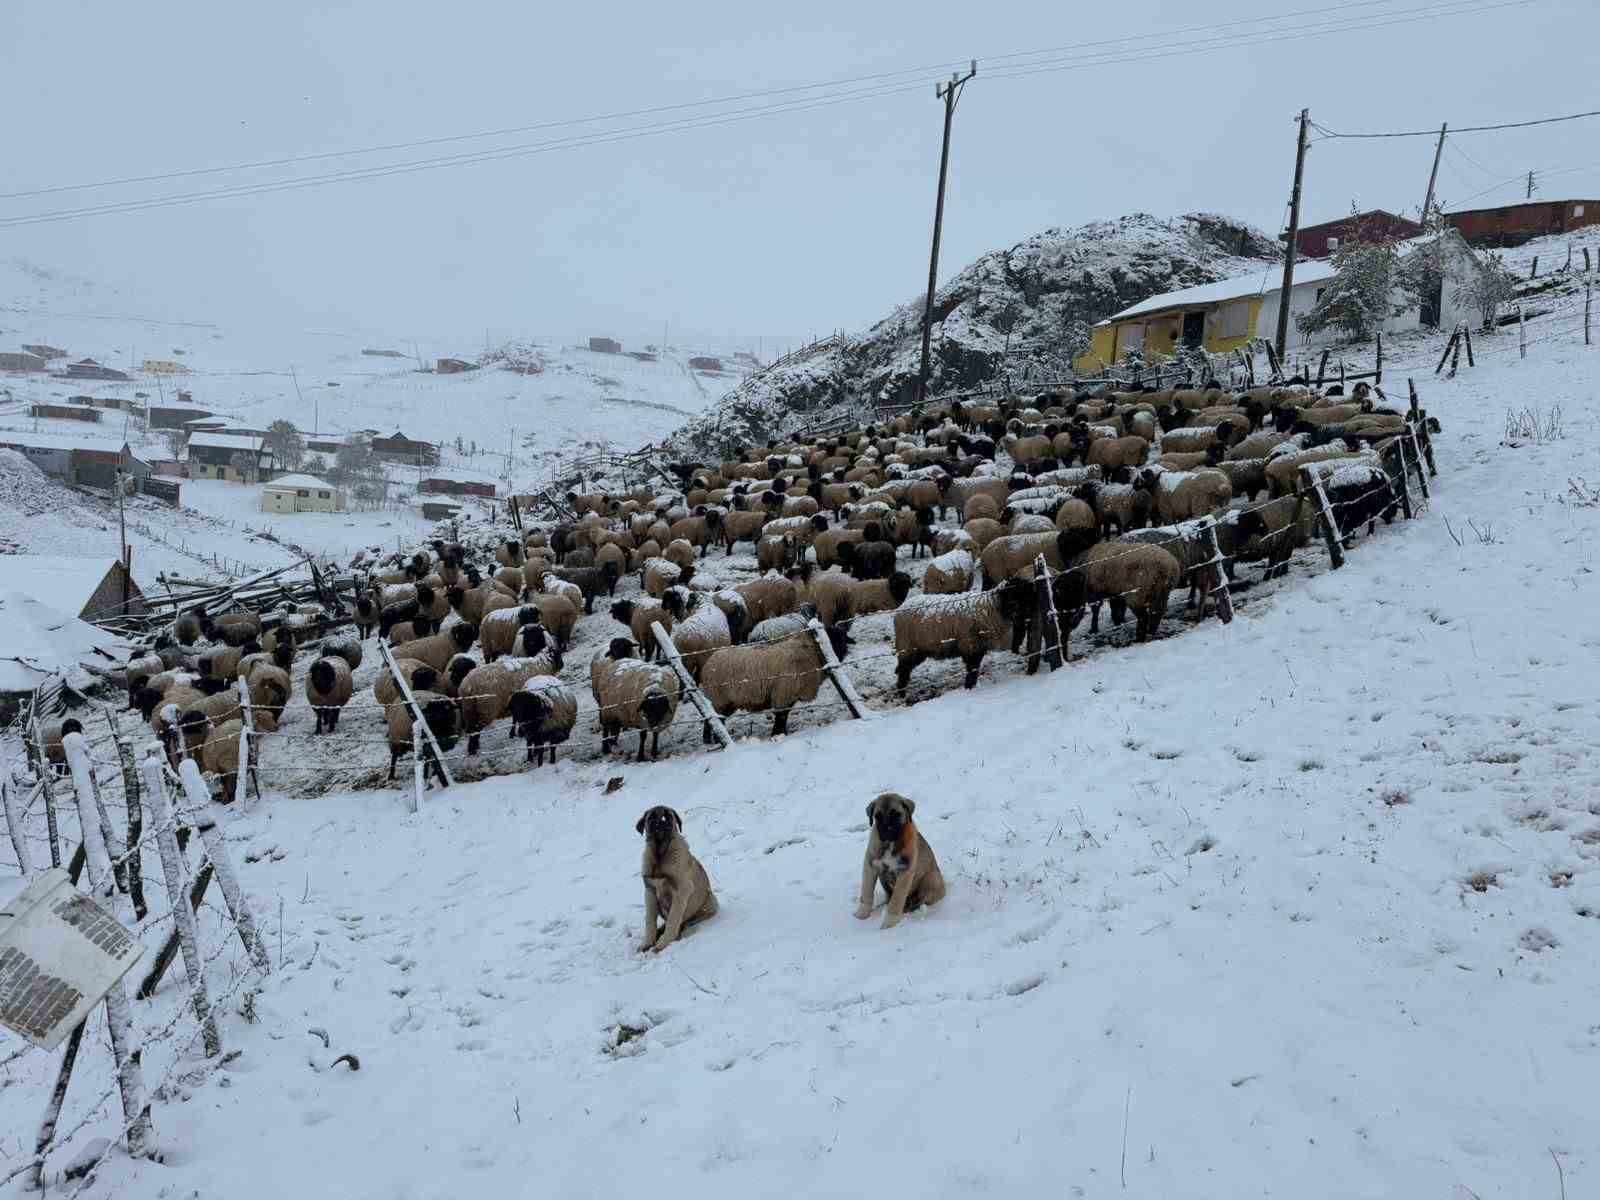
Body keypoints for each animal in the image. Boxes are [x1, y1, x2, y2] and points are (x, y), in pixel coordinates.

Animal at [633, 809, 716, 960]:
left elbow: (673, 919)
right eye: (651, 817)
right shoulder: (650, 891)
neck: (660, 855)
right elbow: (650, 921)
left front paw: (662, 944)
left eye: (668, 816)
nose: (661, 822)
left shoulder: (681, 891)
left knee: (683, 921)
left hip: (706, 906)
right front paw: (647, 943)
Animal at [697, 620, 851, 742]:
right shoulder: (783, 694)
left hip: (726, 702)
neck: (811, 653)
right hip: (719, 699)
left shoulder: (788, 695)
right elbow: (781, 716)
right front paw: (778, 734)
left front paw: (780, 733)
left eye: (843, 638)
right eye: (833, 638)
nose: (840, 656)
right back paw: (712, 740)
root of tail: (707, 664)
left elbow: (784, 715)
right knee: (714, 719)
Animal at [857, 793, 940, 934]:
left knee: (918, 901)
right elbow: (866, 891)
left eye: (896, 814)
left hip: (931, 878)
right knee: (889, 897)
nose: (887, 830)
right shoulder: (871, 865)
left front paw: (890, 923)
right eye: (877, 816)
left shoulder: (904, 872)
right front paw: (862, 914)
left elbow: (897, 900)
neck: (891, 843)